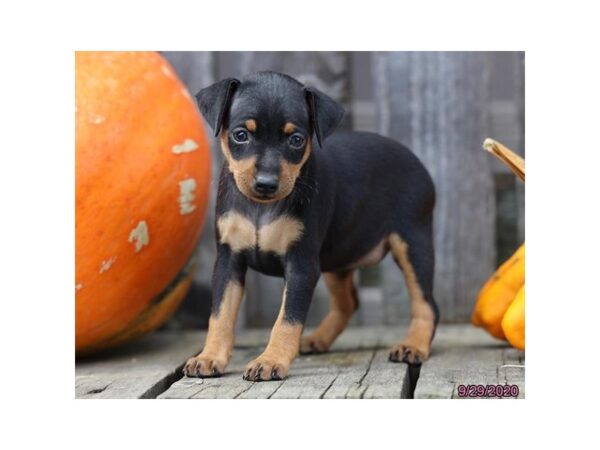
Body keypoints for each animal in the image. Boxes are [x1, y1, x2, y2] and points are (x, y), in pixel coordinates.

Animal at [180, 72, 438, 382]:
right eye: (241, 135)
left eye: (296, 140)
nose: (266, 184)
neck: (261, 208)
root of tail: (416, 160)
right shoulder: (229, 260)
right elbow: (220, 314)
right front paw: (209, 357)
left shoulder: (302, 265)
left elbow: (288, 318)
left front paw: (270, 360)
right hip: (337, 259)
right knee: (348, 302)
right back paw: (317, 339)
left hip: (412, 242)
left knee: (426, 302)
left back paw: (413, 345)